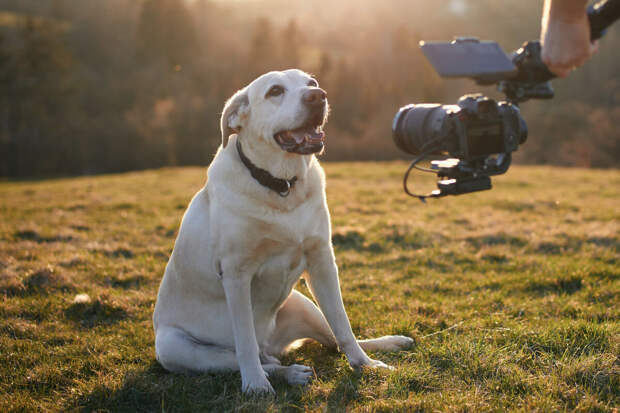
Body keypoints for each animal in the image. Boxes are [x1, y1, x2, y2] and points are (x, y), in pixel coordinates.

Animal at [151, 68, 412, 392]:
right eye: (275, 91)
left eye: (311, 83)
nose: (318, 96)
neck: (281, 185)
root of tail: (273, 346)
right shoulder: (236, 275)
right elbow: (245, 341)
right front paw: (255, 385)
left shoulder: (322, 261)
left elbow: (343, 323)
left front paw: (365, 365)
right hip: (174, 346)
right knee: (256, 359)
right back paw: (287, 373)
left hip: (303, 304)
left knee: (332, 340)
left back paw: (389, 344)